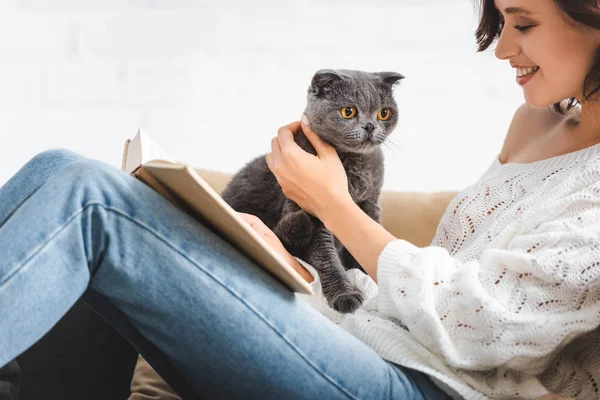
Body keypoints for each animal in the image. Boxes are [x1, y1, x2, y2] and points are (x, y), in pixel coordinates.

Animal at [220, 68, 404, 312]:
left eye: (384, 113)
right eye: (348, 111)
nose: (370, 126)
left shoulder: (370, 203)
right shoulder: (312, 212)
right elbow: (326, 258)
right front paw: (345, 295)